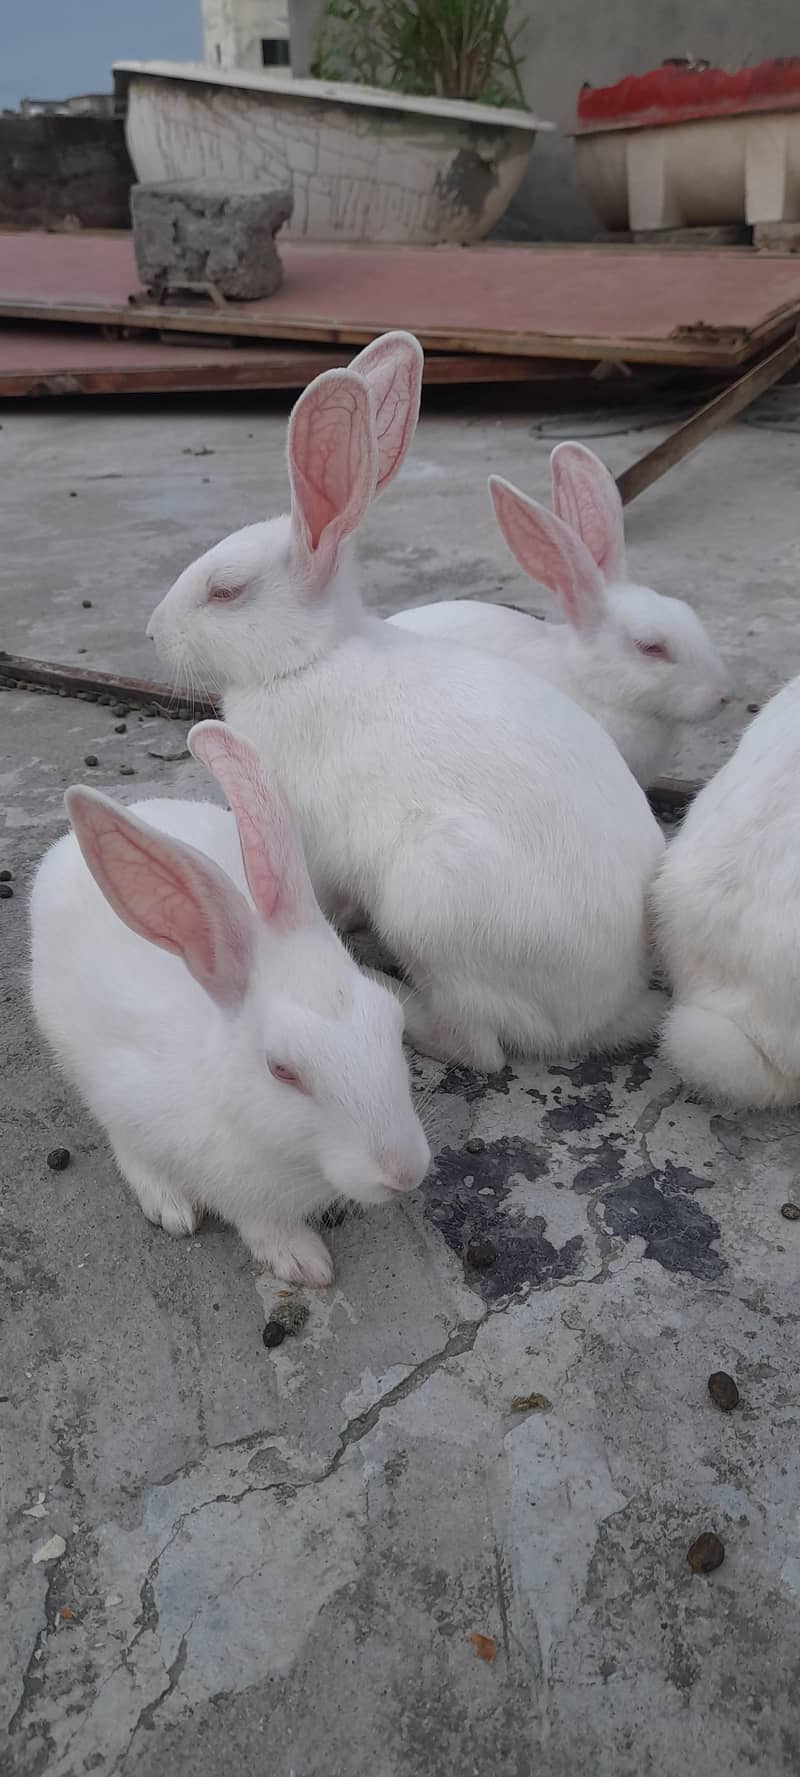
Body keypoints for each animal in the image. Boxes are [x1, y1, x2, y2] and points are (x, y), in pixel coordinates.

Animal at [147, 339, 666, 1075]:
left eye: (225, 592)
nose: (152, 633)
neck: (311, 660)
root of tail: (604, 1010)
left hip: (431, 900)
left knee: (479, 1045)